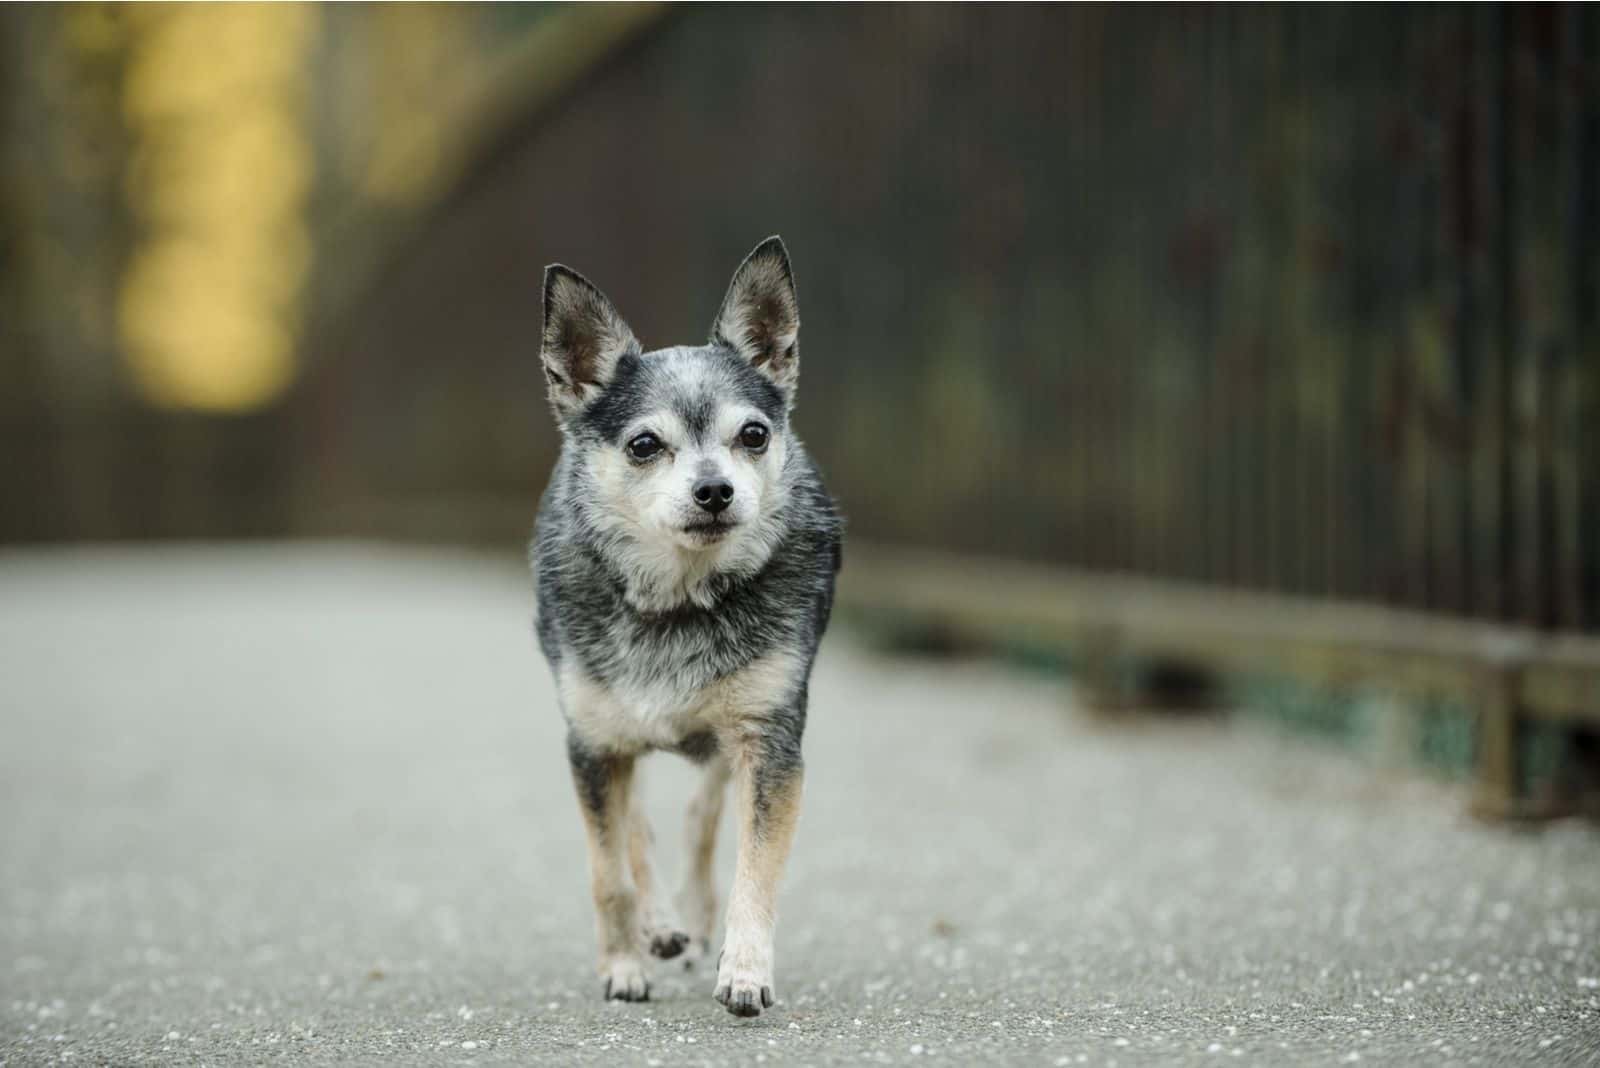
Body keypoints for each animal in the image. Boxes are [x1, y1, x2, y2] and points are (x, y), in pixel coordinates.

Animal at [531, 235, 844, 1016]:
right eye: (645, 446)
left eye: (754, 435)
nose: (714, 490)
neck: (679, 597)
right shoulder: (591, 744)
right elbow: (609, 868)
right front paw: (622, 964)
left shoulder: (770, 743)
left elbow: (754, 868)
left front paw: (745, 970)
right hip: (612, 731)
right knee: (638, 822)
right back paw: (661, 926)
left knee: (700, 816)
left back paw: (694, 922)